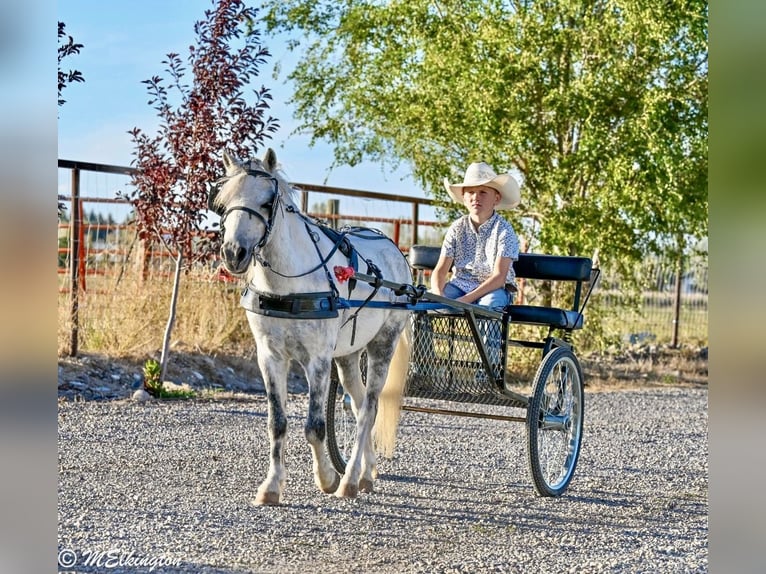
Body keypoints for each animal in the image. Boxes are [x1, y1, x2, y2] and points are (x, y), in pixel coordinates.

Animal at [210, 148, 412, 505]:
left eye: (267, 201)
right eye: (223, 201)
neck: (288, 285)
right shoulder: (270, 356)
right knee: (358, 403)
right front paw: (271, 486)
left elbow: (315, 425)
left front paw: (327, 478)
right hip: (347, 355)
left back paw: (349, 481)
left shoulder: (317, 359)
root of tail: (395, 253)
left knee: (369, 408)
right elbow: (277, 422)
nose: (234, 253)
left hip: (383, 345)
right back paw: (365, 474)